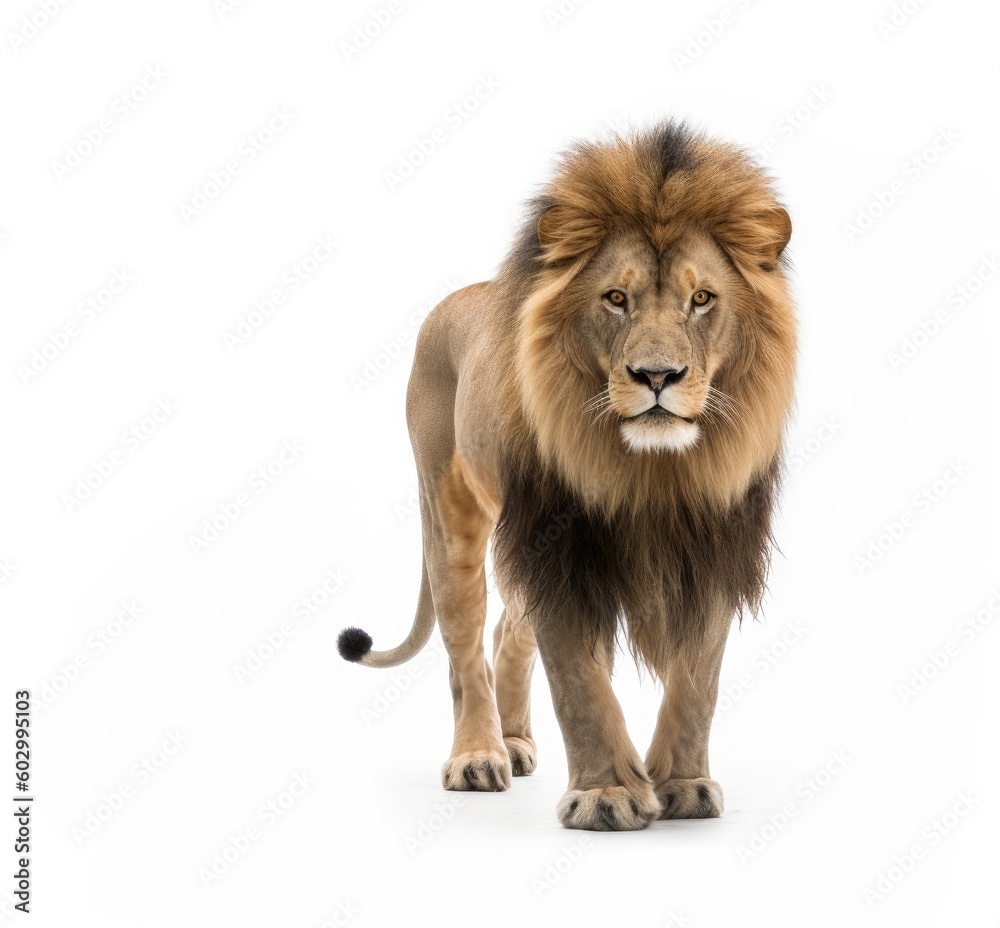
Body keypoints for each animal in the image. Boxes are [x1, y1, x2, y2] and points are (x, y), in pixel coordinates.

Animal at [338, 121, 796, 831]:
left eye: (701, 299)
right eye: (615, 298)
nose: (657, 376)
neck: (650, 472)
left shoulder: (715, 547)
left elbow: (698, 681)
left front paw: (684, 785)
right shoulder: (559, 548)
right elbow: (580, 683)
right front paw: (606, 795)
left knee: (509, 630)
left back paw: (517, 741)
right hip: (451, 514)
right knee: (466, 646)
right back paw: (479, 756)